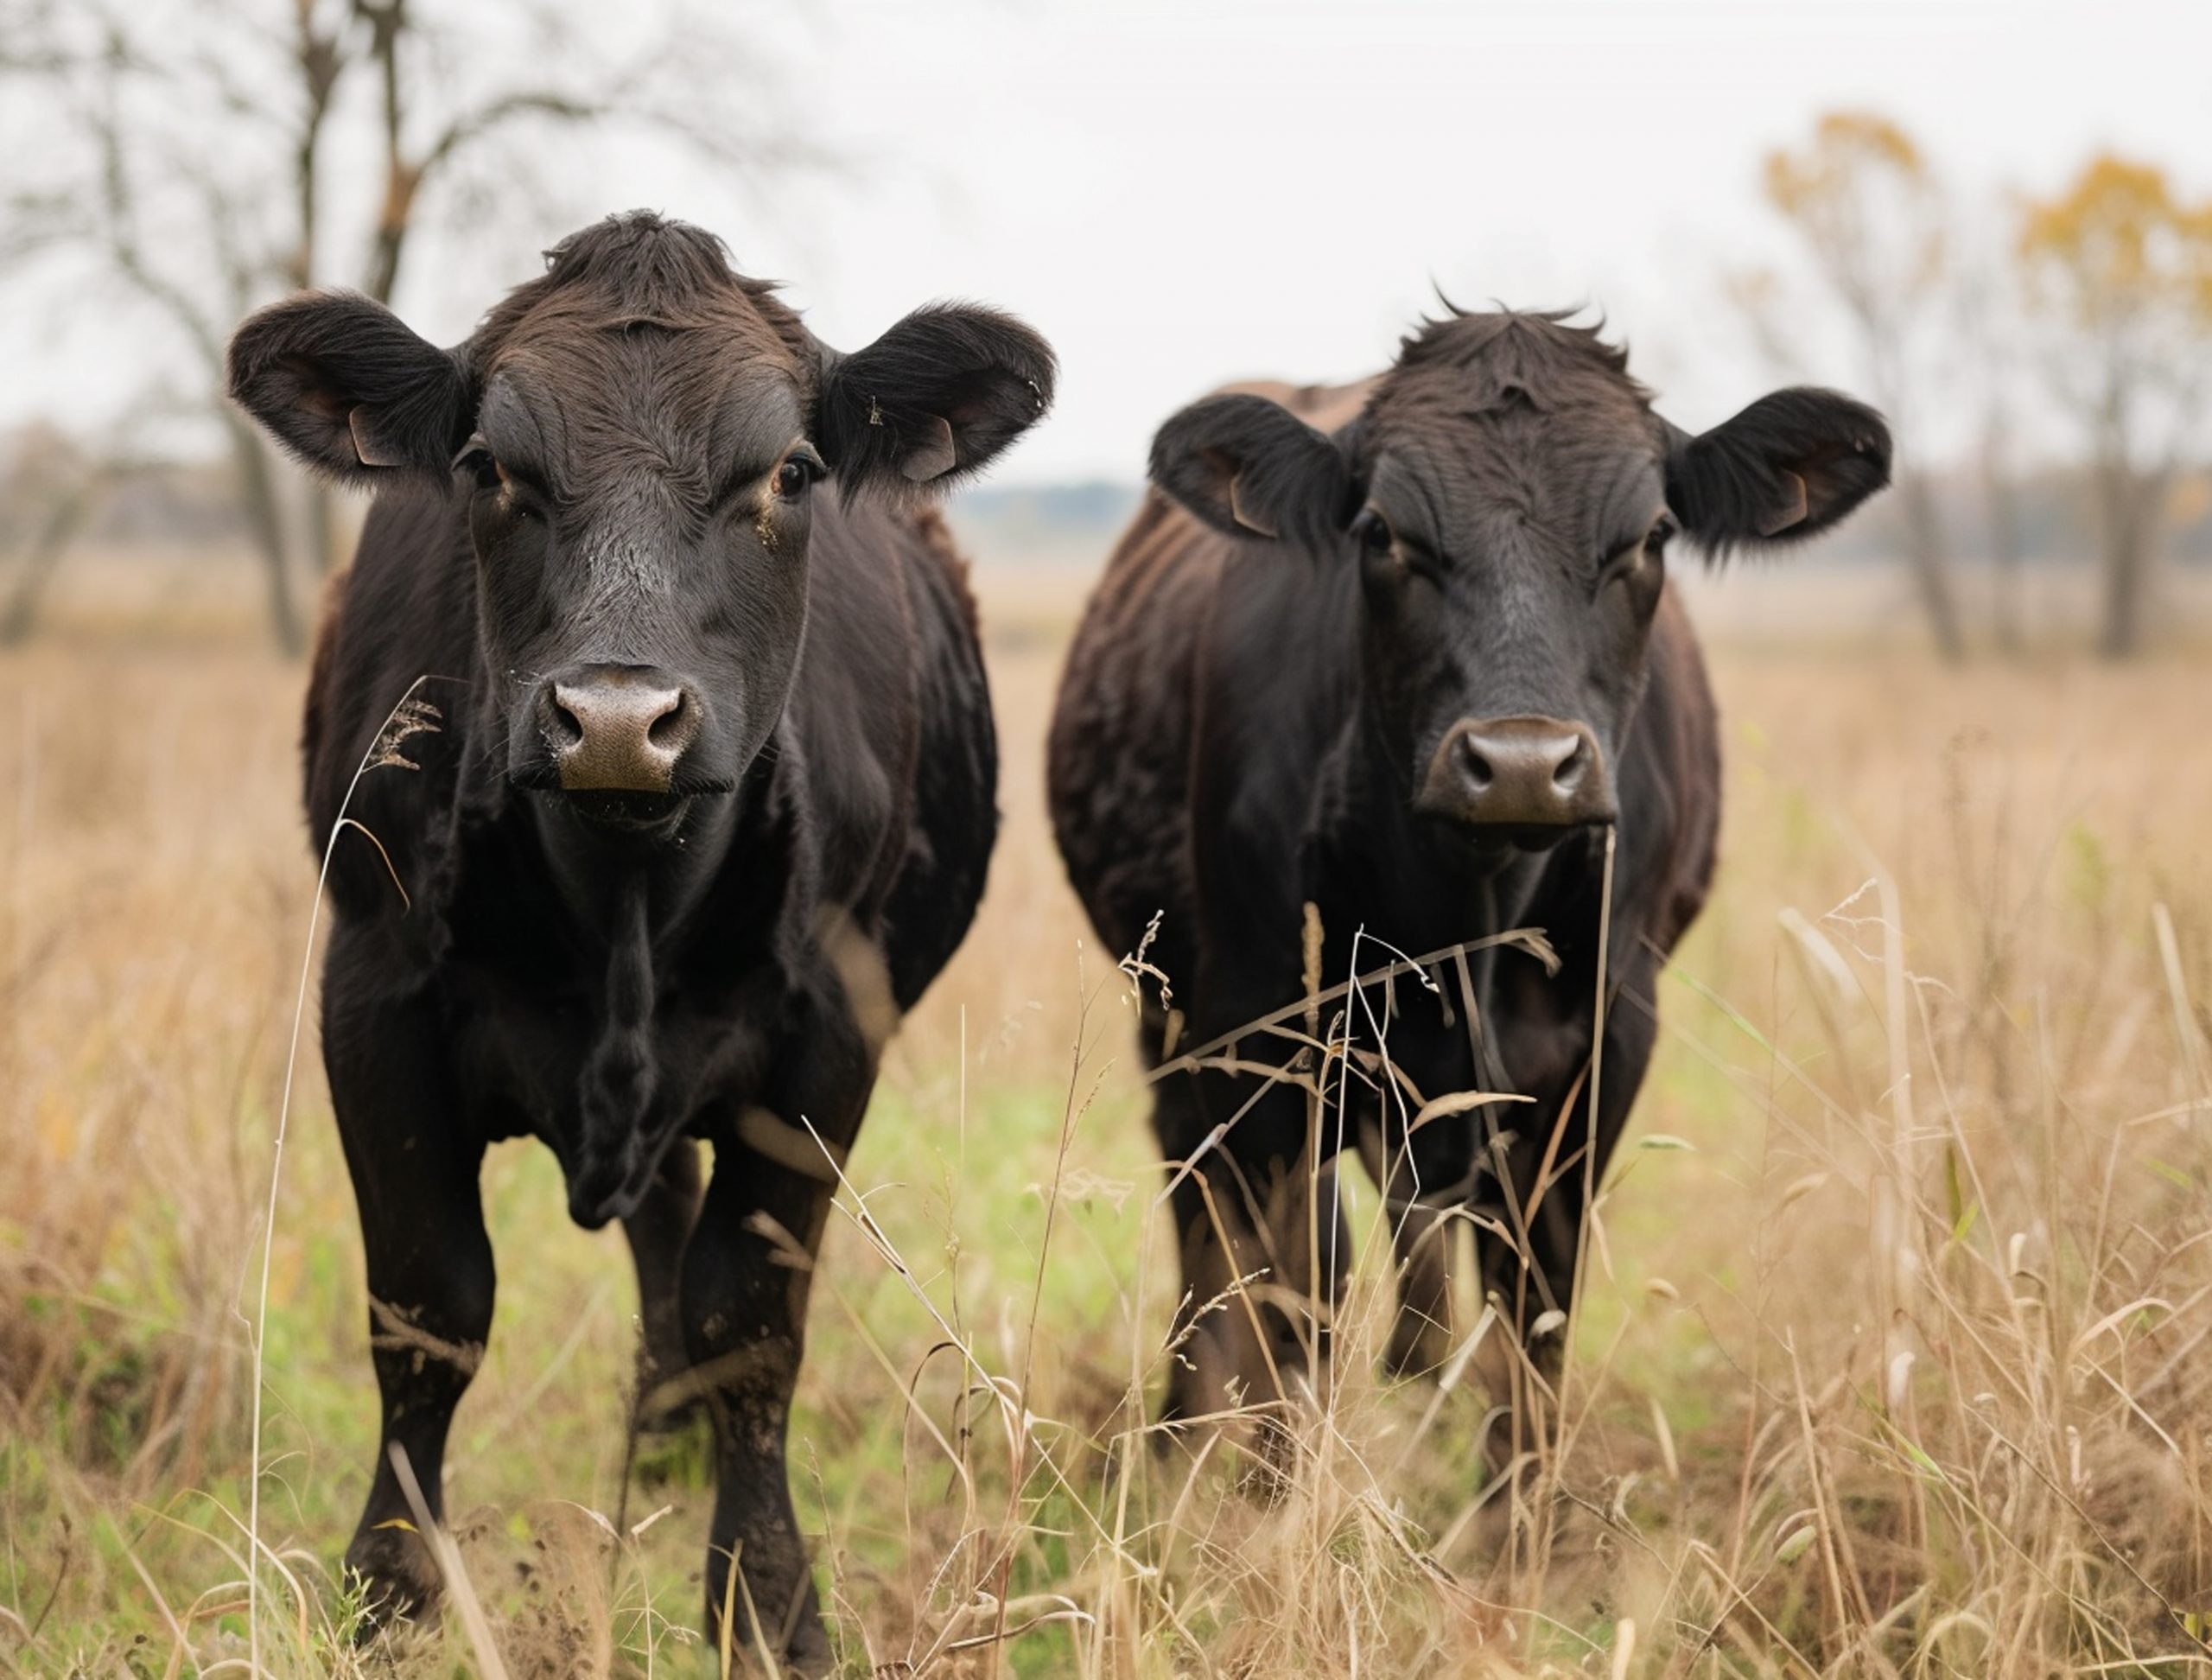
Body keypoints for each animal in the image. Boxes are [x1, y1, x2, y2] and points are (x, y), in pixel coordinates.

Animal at [228, 213, 1057, 1673]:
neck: (621, 898)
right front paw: (388, 1594)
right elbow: (430, 1308)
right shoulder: (372, 1004)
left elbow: (752, 1324)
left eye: (790, 471)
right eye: (489, 467)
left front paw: (767, 1604)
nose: (618, 720)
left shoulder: (828, 1039)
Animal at [1048, 312, 1885, 1442]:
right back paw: (1184, 1428)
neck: (1466, 916)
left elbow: (1534, 1311)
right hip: (1176, 1021)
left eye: (1650, 537)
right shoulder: (1264, 1031)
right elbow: (1292, 1299)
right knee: (1216, 1218)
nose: (1522, 763)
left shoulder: (1599, 1049)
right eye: (1380, 533)